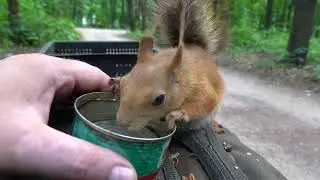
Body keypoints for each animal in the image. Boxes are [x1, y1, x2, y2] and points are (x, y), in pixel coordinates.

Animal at [110, 0, 228, 133]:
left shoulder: (198, 84)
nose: (121, 124)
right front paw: (116, 82)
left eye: (159, 99)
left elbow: (207, 100)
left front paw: (178, 114)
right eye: (123, 83)